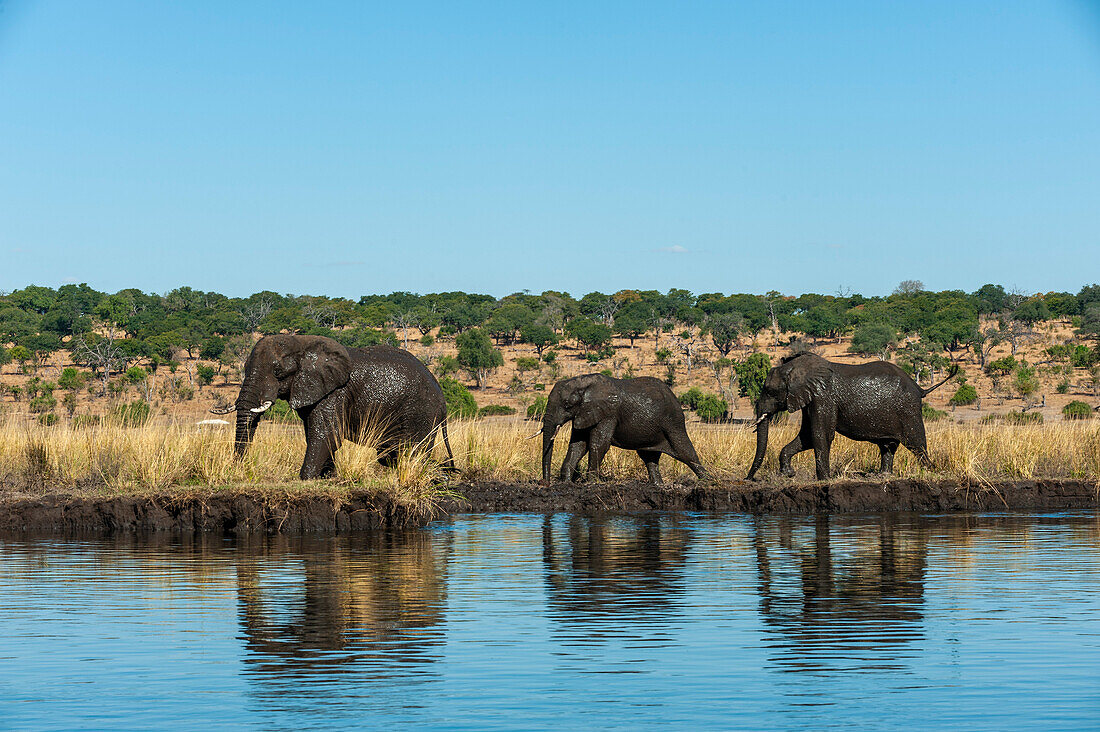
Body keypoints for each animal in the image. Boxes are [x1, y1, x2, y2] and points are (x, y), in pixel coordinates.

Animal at [210, 332, 455, 479]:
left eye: (278, 372)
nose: (238, 470)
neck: (302, 343)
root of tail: (443, 401)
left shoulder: (336, 391)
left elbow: (327, 434)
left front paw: (306, 478)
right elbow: (317, 434)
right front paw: (328, 477)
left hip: (421, 412)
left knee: (412, 451)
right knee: (390, 454)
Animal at [536, 372, 708, 484]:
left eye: (567, 404)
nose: (545, 483)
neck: (583, 383)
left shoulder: (609, 413)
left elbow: (598, 444)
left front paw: (591, 483)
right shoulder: (585, 413)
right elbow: (578, 445)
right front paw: (566, 483)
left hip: (673, 422)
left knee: (686, 453)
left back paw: (708, 481)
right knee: (649, 457)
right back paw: (658, 485)